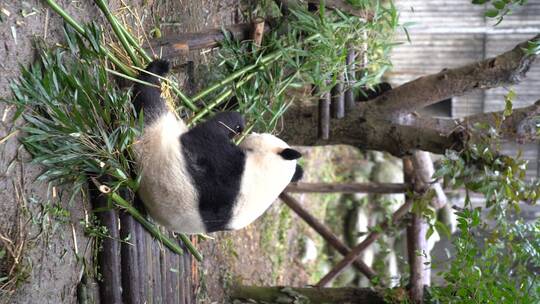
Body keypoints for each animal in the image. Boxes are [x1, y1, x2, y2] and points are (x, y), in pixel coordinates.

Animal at [132, 60, 304, 235]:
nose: (252, 132)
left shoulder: (227, 169)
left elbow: (209, 133)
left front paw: (237, 120)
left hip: (156, 138)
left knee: (147, 97)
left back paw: (157, 69)